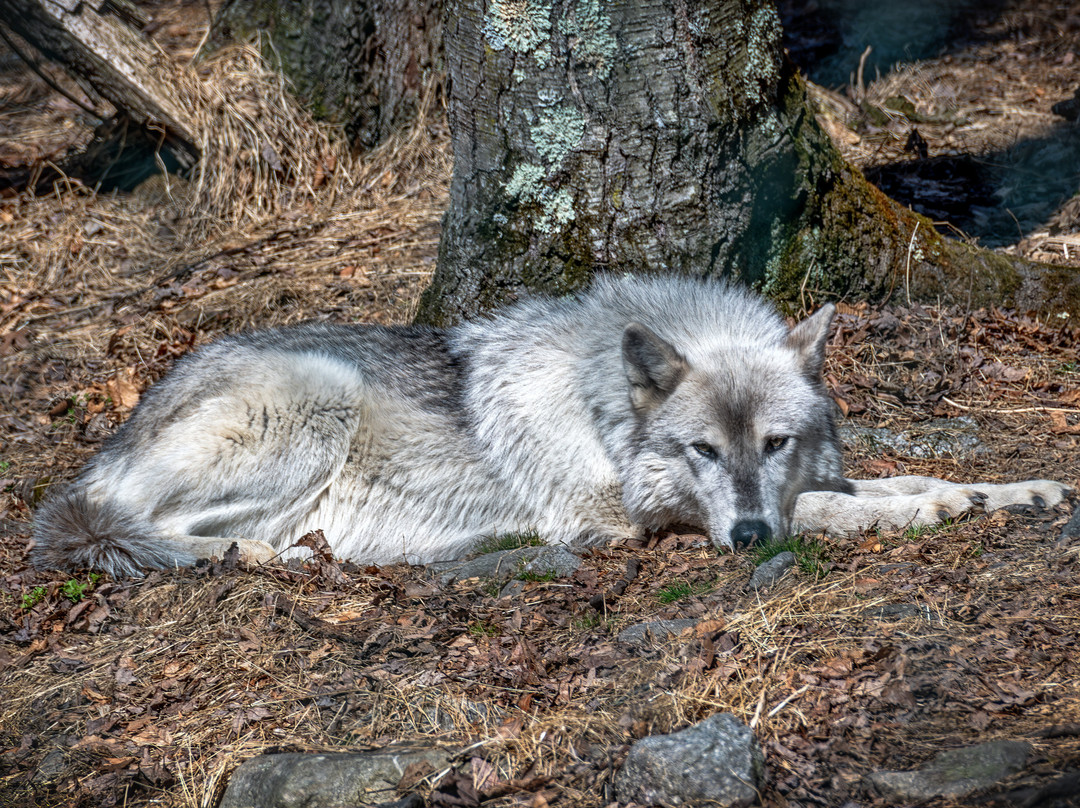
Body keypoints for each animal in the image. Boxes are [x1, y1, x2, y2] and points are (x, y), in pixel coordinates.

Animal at [31, 274, 1070, 577]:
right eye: (701, 451)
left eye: (774, 443)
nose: (745, 538)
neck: (601, 407)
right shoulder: (624, 523)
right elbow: (835, 510)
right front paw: (918, 516)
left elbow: (906, 477)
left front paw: (1014, 491)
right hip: (316, 400)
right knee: (152, 533)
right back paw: (286, 554)